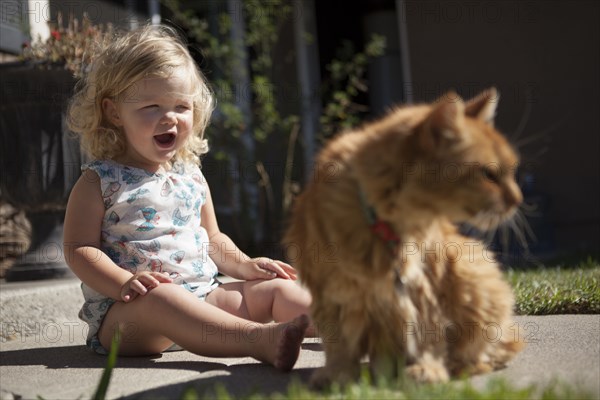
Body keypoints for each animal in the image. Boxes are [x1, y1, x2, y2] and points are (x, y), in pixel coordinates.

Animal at [284, 88, 524, 388]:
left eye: (512, 171)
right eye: (489, 174)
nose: (518, 200)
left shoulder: (424, 283)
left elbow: (427, 335)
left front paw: (426, 370)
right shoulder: (333, 295)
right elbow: (339, 344)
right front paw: (338, 375)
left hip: (471, 270)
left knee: (493, 347)